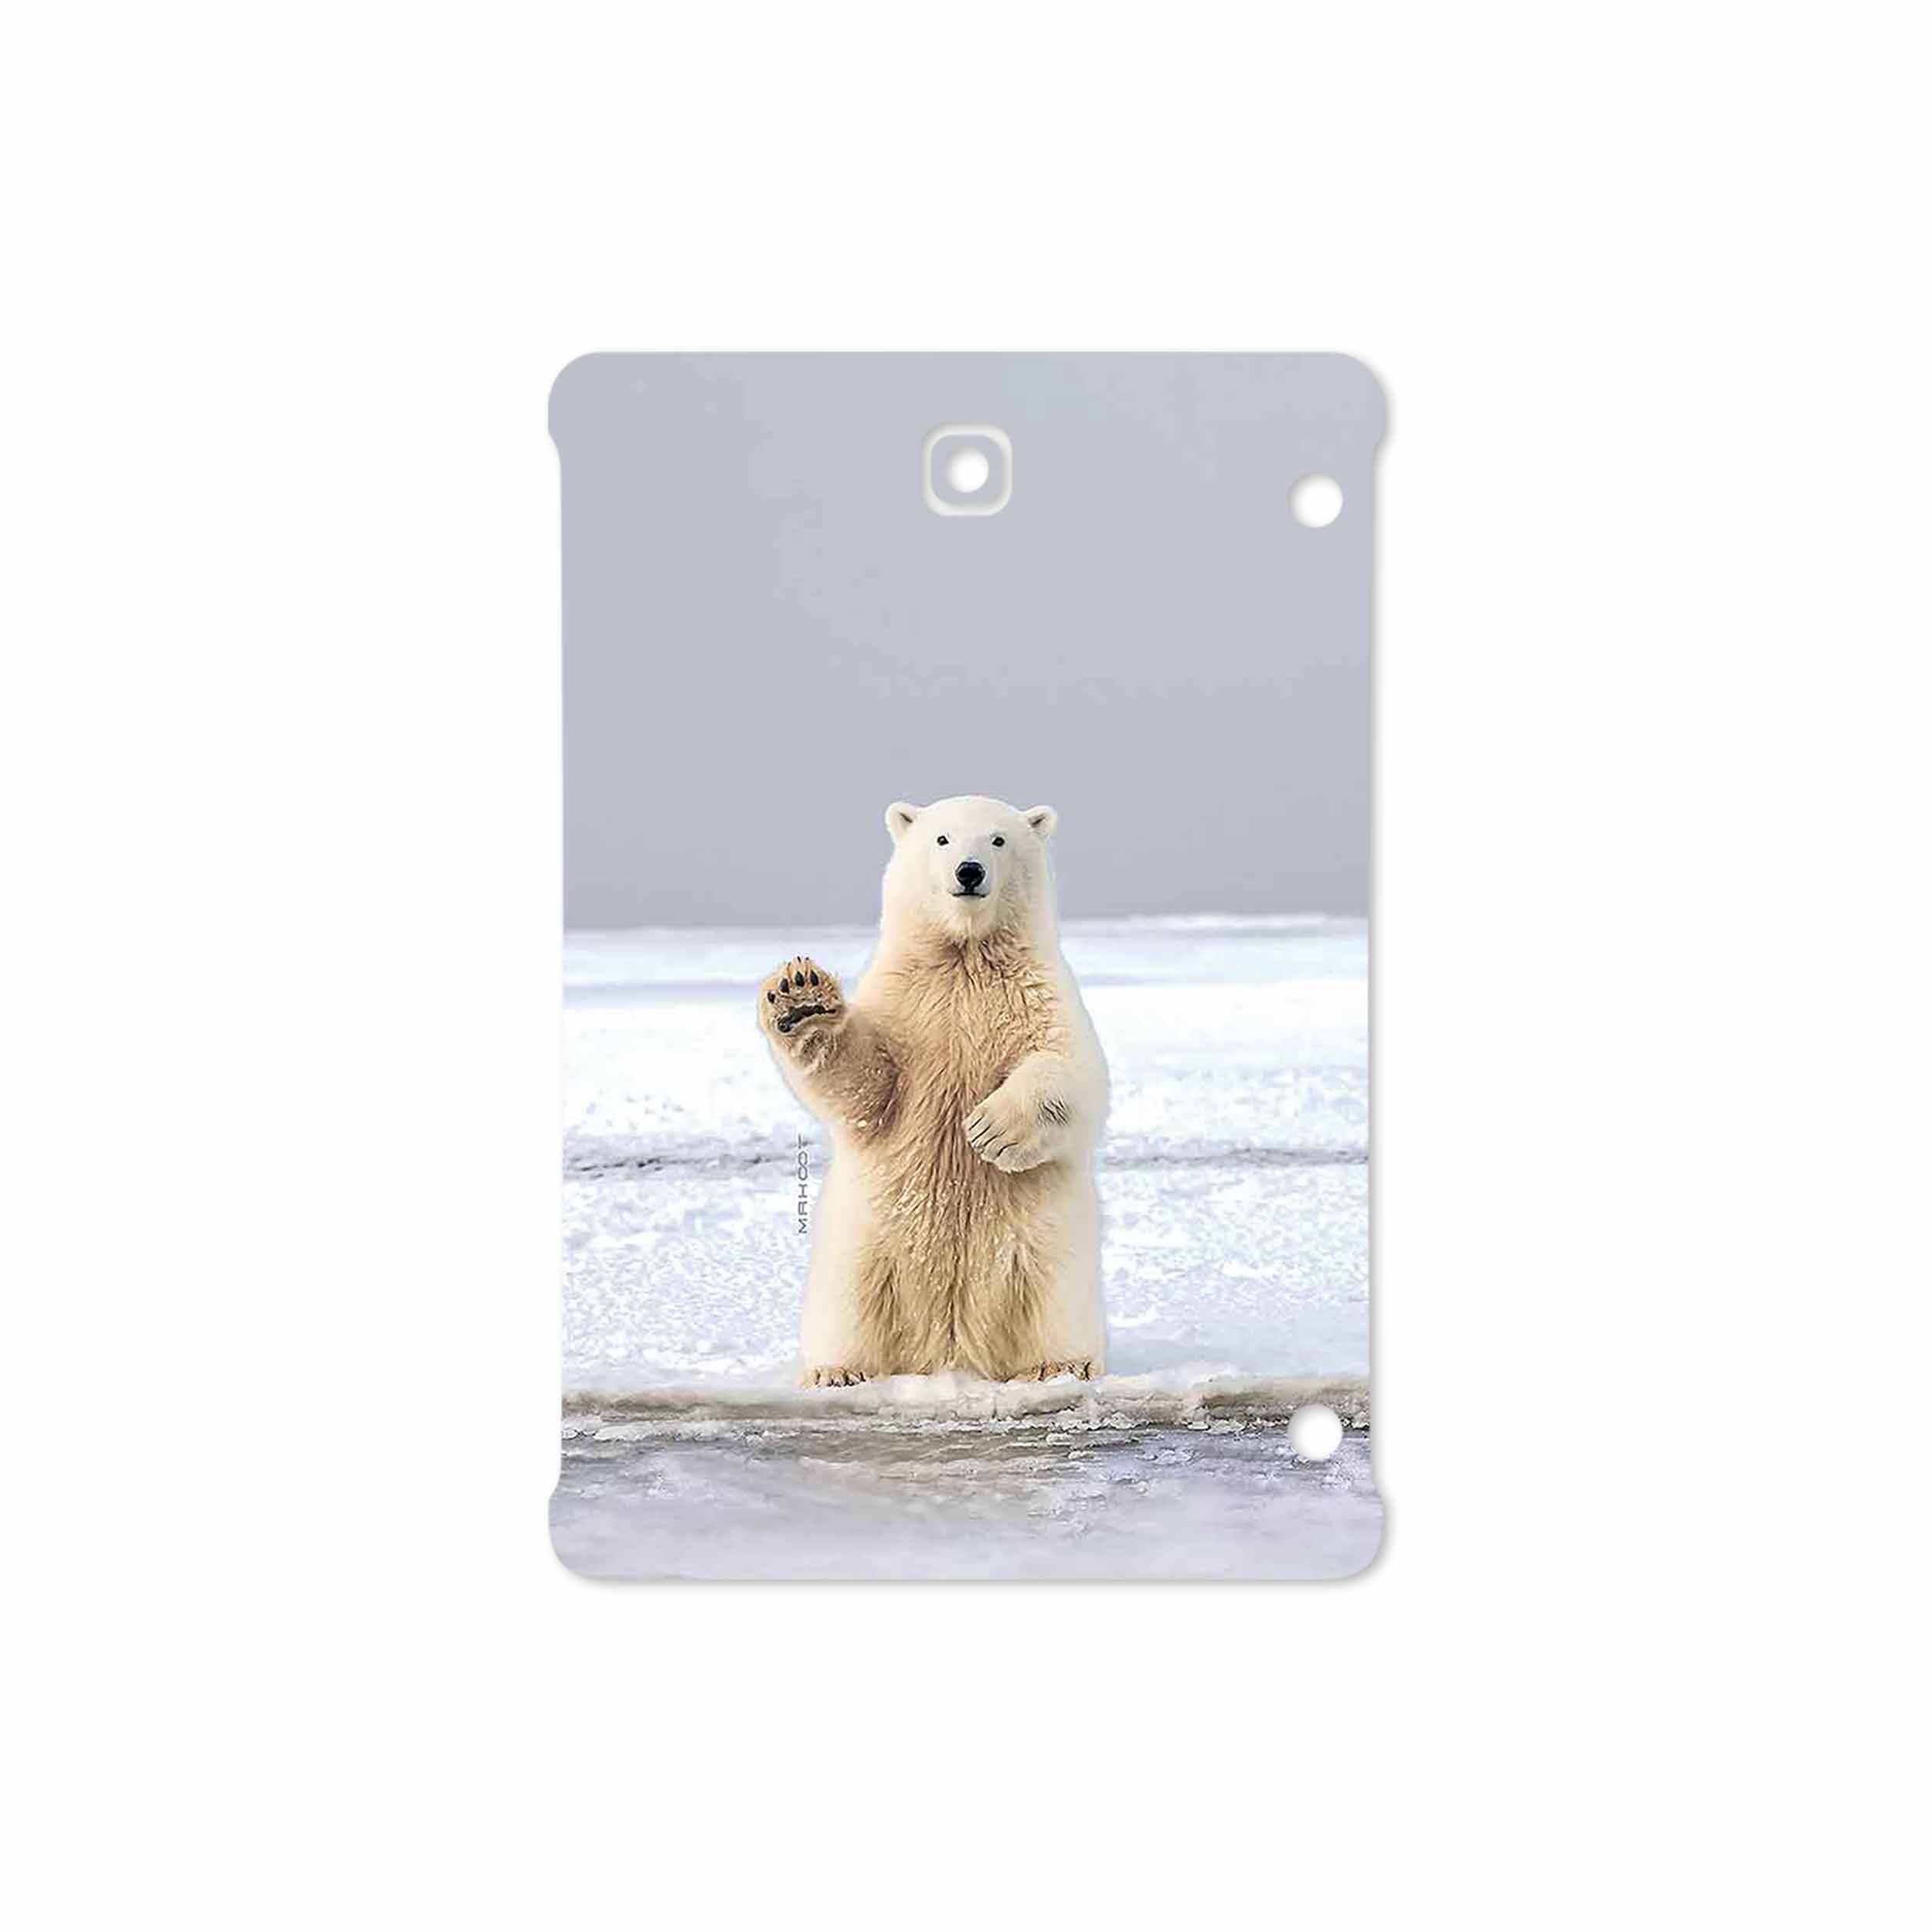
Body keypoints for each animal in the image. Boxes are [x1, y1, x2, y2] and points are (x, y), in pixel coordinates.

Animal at [758, 795, 1109, 1386]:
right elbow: (867, 1085)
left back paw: (1061, 1365)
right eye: (942, 839)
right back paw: (837, 1371)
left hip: (1049, 1249)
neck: (965, 956)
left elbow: (1074, 1071)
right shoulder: (906, 1004)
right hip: (862, 1246)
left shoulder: (1040, 995)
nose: (969, 872)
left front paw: (990, 1129)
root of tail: (950, 1351)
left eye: (998, 839)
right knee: (848, 1305)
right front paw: (801, 999)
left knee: (1055, 1298)